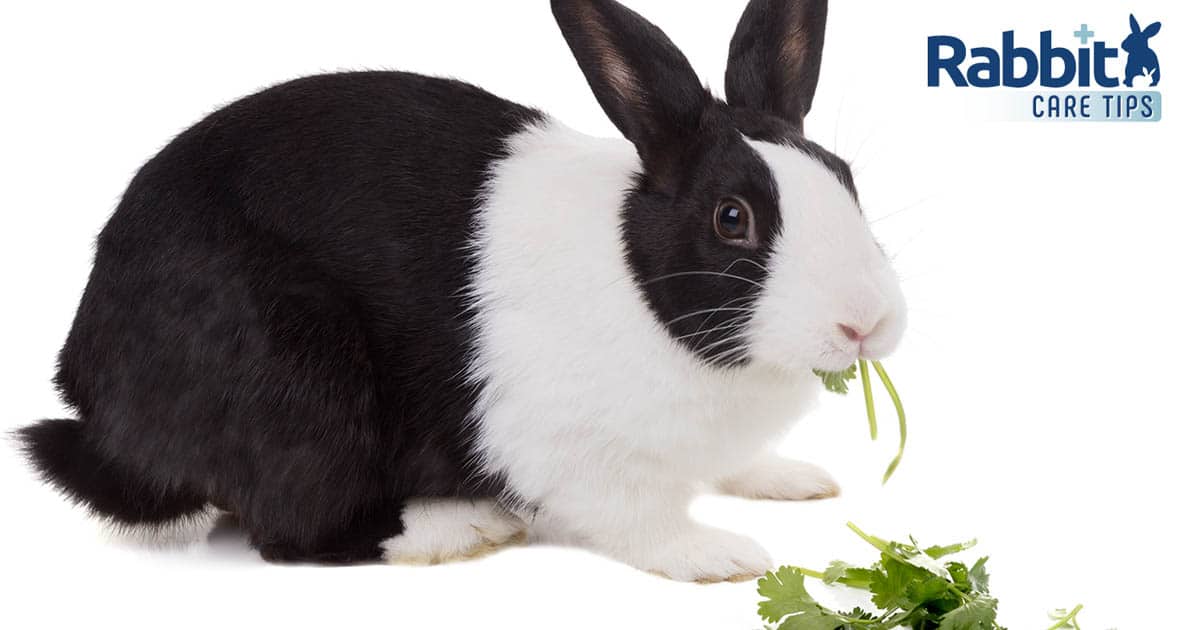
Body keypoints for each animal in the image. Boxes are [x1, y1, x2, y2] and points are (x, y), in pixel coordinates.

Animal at [18, 0, 902, 583]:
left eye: (848, 180)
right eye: (732, 218)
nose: (864, 324)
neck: (642, 286)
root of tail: (98, 404)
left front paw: (792, 479)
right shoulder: (570, 449)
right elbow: (636, 517)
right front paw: (721, 554)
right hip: (294, 372)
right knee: (297, 528)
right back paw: (460, 524)